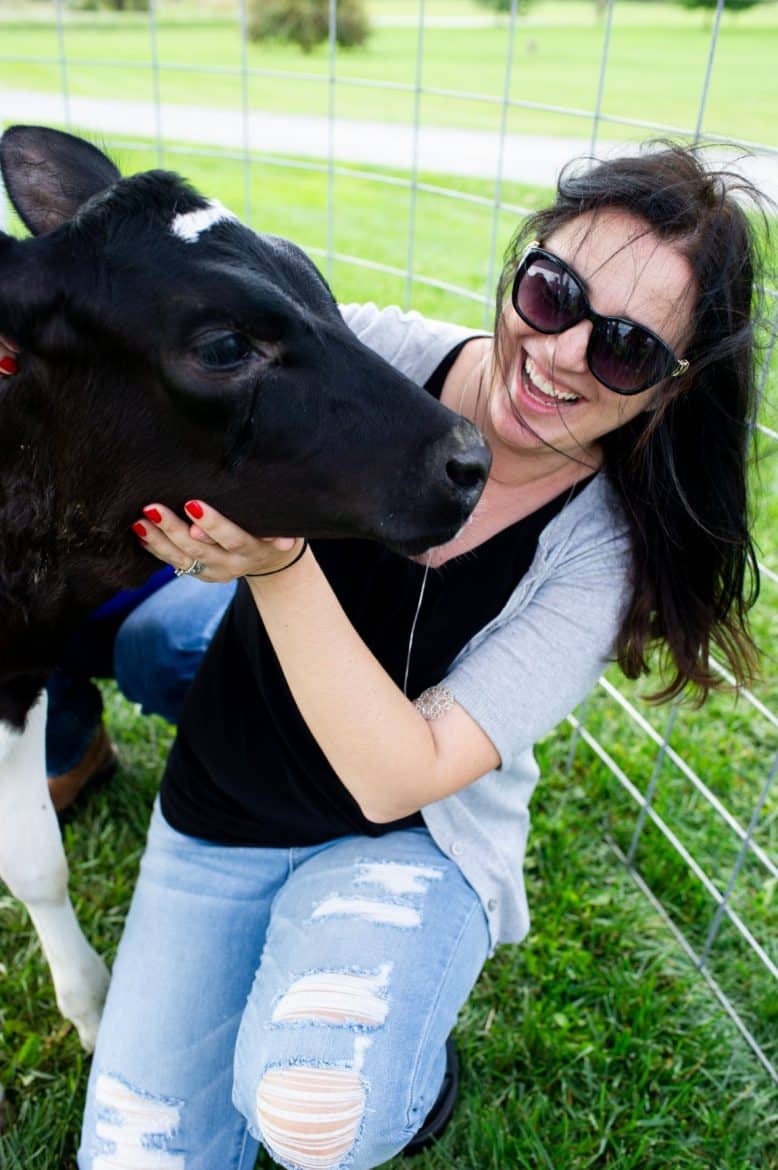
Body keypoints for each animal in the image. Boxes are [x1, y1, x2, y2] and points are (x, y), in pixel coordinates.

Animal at [0, 128, 489, 1053]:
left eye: (321, 287)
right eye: (224, 346)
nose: (470, 459)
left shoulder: (19, 670)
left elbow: (33, 854)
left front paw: (91, 1004)